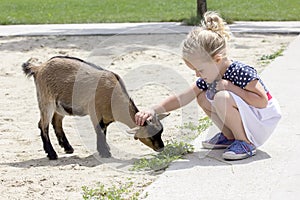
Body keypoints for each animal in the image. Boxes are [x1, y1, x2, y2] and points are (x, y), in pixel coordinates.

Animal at [22, 55, 169, 159]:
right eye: (150, 135)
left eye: (161, 131)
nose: (161, 148)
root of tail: (39, 68)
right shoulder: (95, 113)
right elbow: (99, 131)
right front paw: (105, 153)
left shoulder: (106, 118)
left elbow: (104, 132)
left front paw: (106, 149)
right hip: (46, 101)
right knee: (43, 125)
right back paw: (52, 154)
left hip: (60, 106)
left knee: (56, 122)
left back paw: (68, 148)